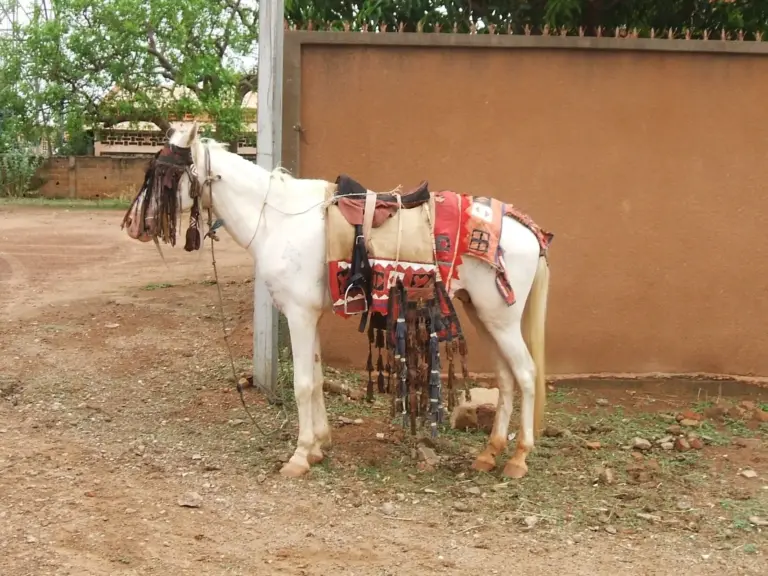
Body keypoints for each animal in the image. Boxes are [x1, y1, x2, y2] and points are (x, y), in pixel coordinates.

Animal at [123, 122, 552, 480]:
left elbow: (301, 383)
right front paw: (318, 446)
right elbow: (314, 379)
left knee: (526, 374)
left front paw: (299, 456)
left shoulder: (297, 315)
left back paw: (518, 459)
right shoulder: (309, 316)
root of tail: (527, 229)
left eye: (162, 172)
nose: (133, 225)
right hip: (484, 316)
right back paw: (489, 454)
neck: (279, 219)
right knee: (506, 378)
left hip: (500, 320)